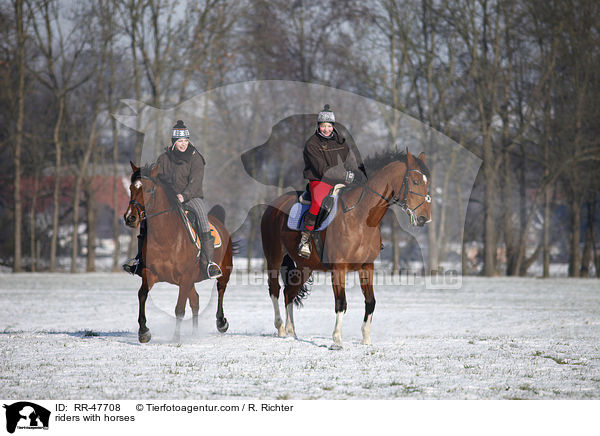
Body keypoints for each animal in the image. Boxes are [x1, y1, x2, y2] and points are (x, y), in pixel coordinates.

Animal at [123, 162, 233, 342]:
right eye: (131, 188)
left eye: (148, 190)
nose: (130, 217)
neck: (165, 238)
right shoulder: (150, 273)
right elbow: (142, 295)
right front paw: (144, 331)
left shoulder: (185, 277)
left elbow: (179, 308)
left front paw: (175, 337)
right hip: (192, 280)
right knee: (195, 301)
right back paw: (195, 334)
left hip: (223, 272)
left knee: (220, 290)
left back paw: (221, 322)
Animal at [262, 150, 432, 348]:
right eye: (415, 181)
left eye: (427, 182)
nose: (424, 218)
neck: (361, 217)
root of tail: (275, 204)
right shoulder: (339, 268)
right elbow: (341, 303)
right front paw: (337, 340)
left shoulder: (367, 267)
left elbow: (370, 301)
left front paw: (366, 339)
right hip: (274, 257)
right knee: (275, 289)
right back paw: (281, 327)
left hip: (306, 266)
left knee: (289, 292)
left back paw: (291, 332)